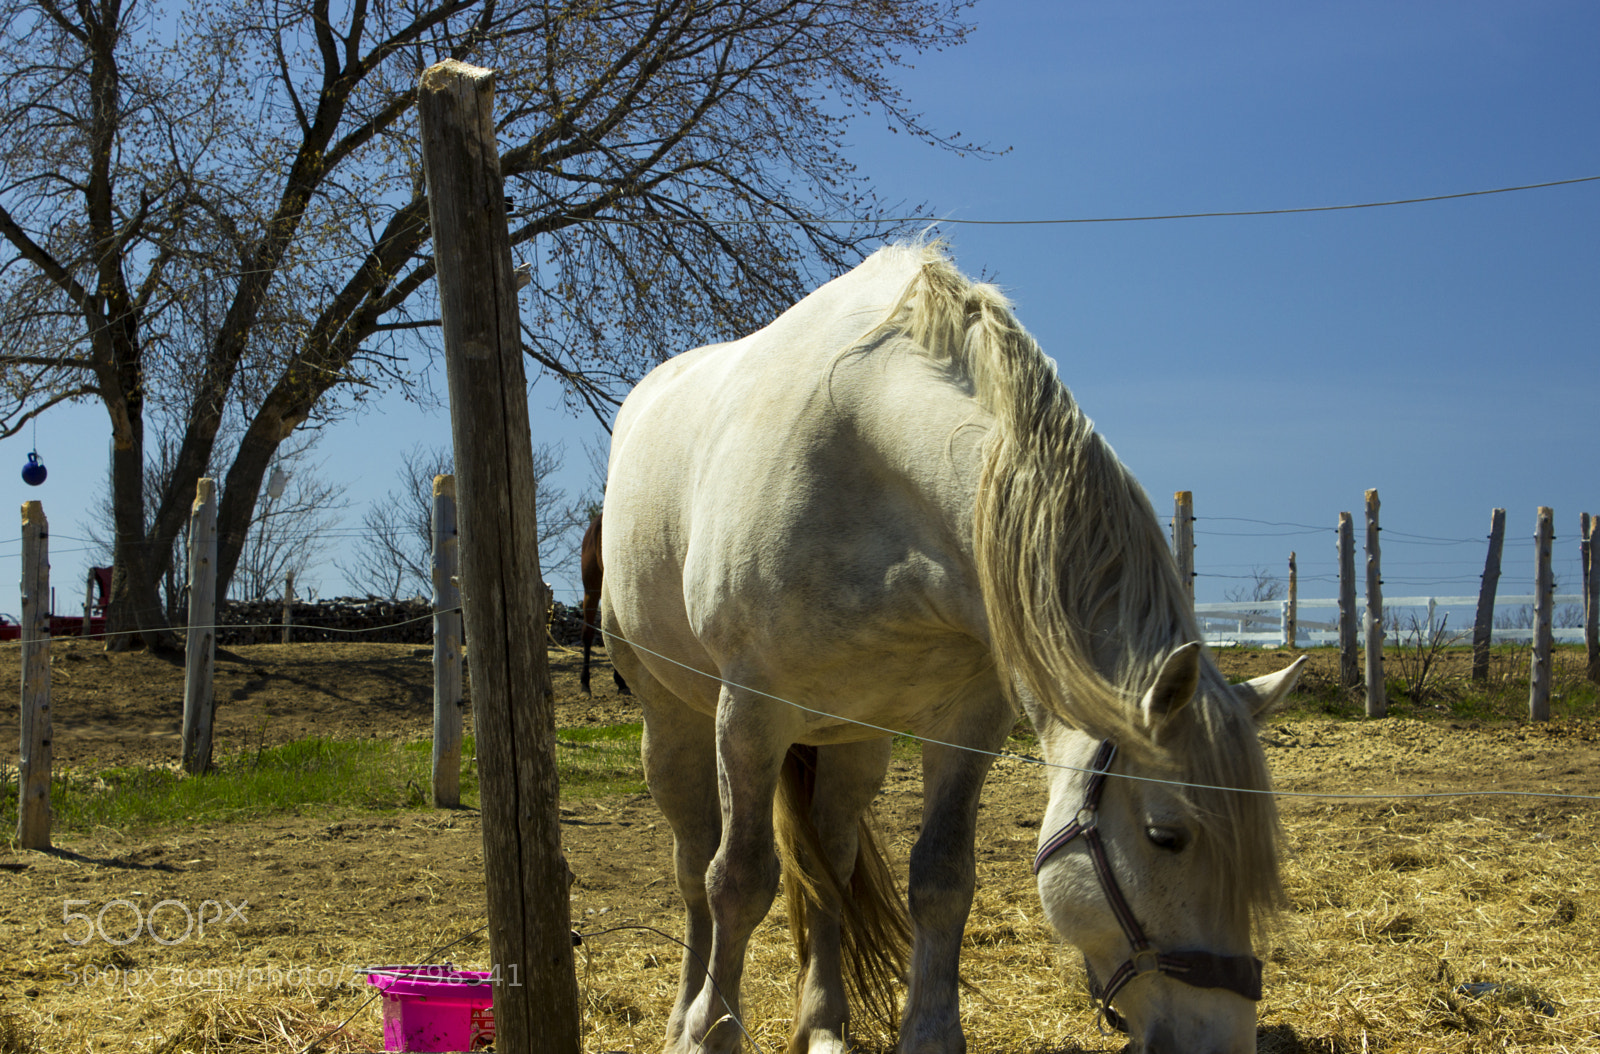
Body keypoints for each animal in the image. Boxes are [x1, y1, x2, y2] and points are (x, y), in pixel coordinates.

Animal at [600, 244, 1304, 1054]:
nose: (1221, 1039)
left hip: (853, 741)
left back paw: (824, 1024)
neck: (873, 461)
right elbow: (737, 882)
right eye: (1167, 836)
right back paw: (685, 1009)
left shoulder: (969, 723)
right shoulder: (749, 714)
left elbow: (942, 878)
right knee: (695, 868)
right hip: (673, 719)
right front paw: (707, 1032)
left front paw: (930, 1033)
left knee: (830, 864)